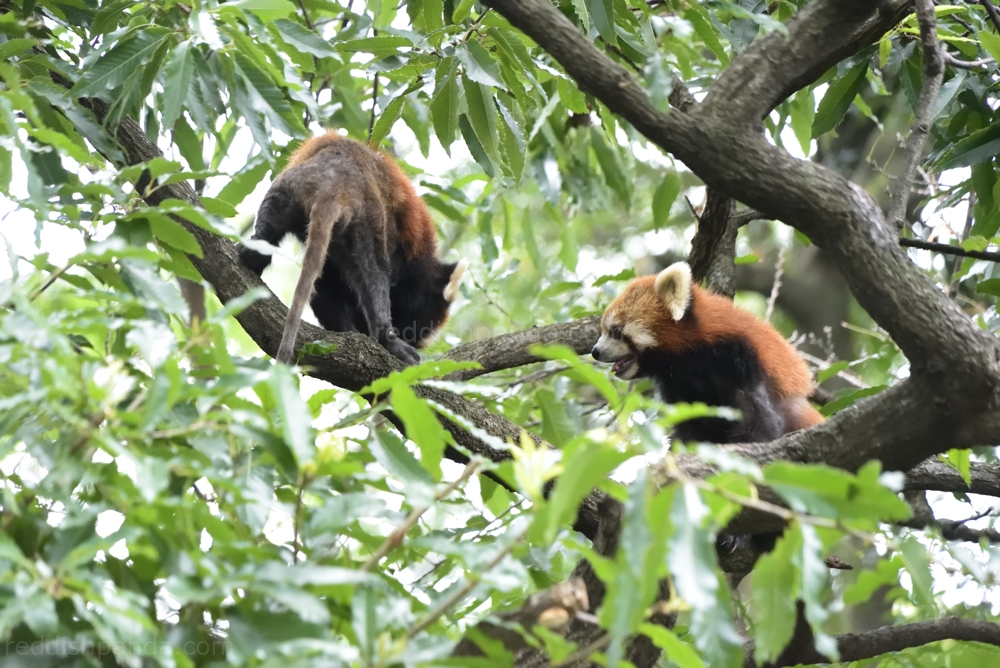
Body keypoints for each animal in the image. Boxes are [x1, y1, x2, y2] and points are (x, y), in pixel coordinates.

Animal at [239, 129, 468, 360]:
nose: (406, 337)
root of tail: (337, 181)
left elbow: (324, 289)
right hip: (367, 221)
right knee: (374, 272)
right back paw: (388, 339)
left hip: (287, 191)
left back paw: (253, 256)